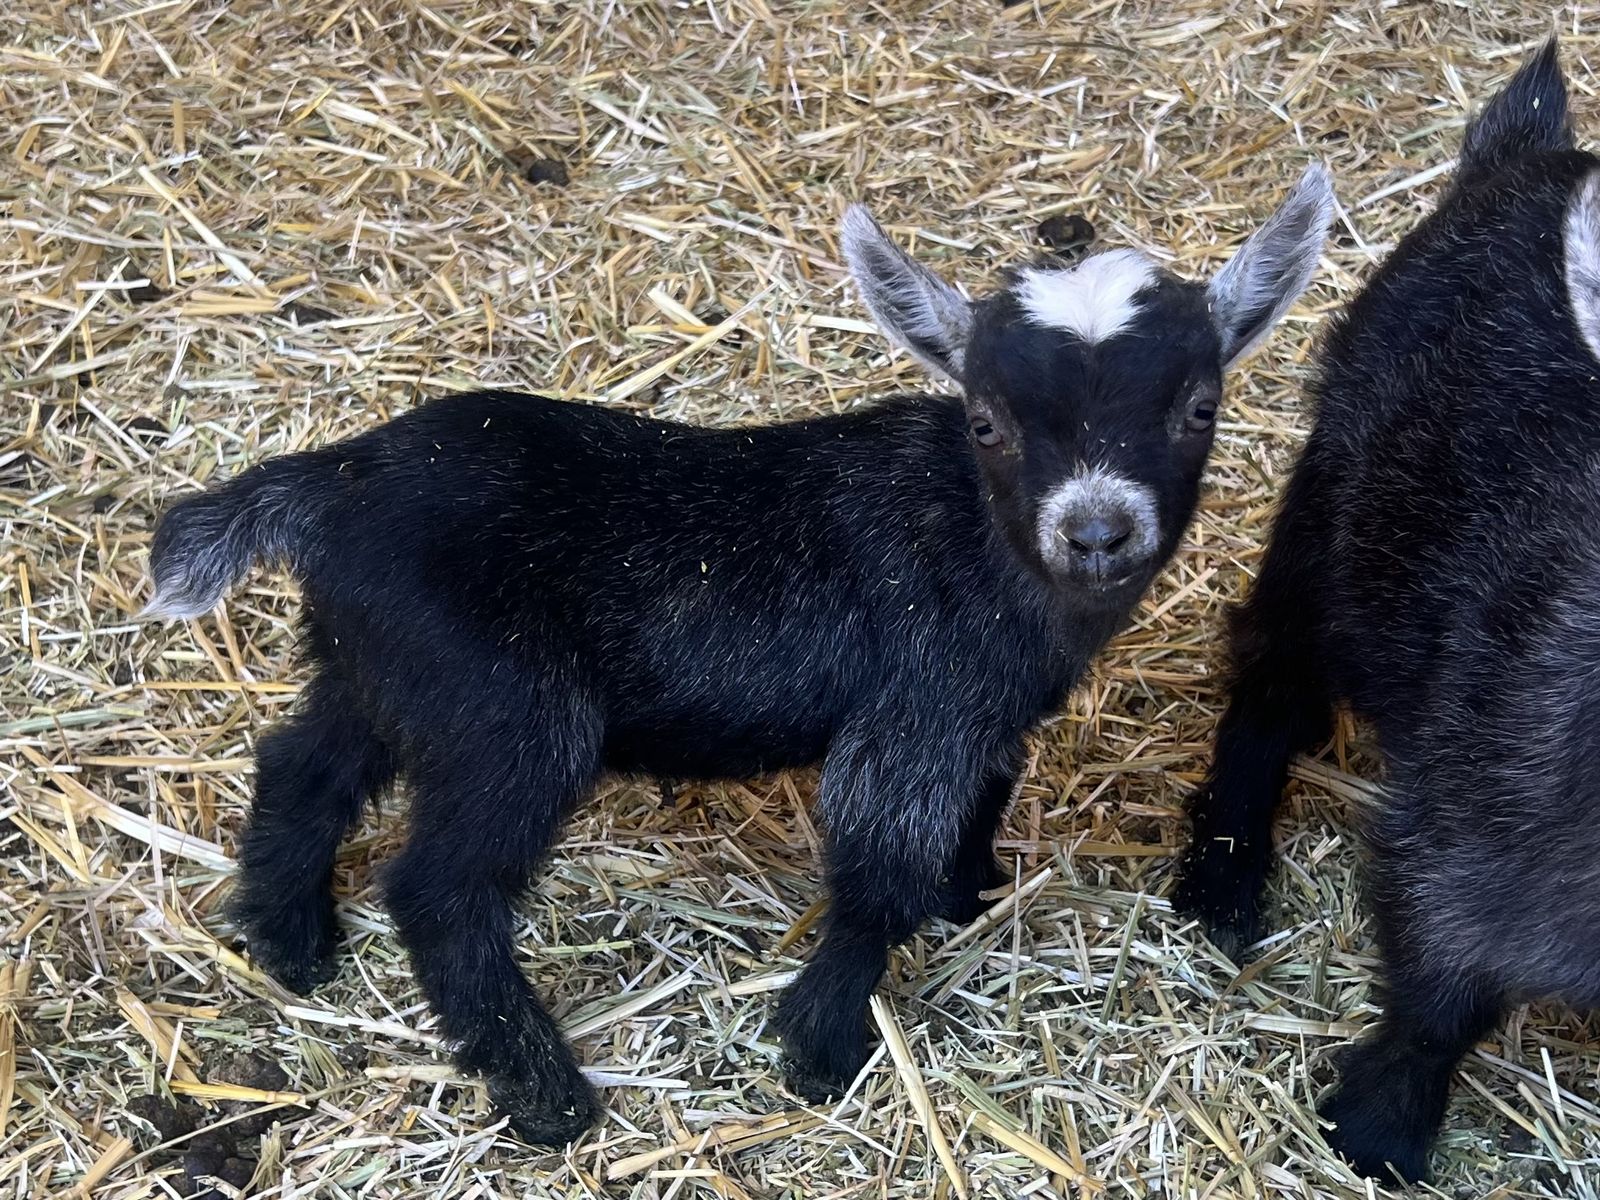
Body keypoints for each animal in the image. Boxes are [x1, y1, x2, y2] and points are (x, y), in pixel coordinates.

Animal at [144, 177, 1333, 1143]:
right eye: (989, 420)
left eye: (1198, 406)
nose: (1096, 532)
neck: (976, 537)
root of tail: (330, 479)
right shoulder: (913, 715)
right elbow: (877, 872)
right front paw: (819, 1045)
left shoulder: (979, 718)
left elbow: (975, 810)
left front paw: (968, 898)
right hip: (506, 712)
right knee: (438, 886)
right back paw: (545, 1096)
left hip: (384, 667)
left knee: (303, 762)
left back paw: (290, 939)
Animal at [1175, 40, 1600, 1182]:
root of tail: (1520, 158)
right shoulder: (1475, 841)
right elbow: (1437, 991)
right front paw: (1377, 1127)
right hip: (1330, 520)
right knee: (1270, 688)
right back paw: (1222, 876)